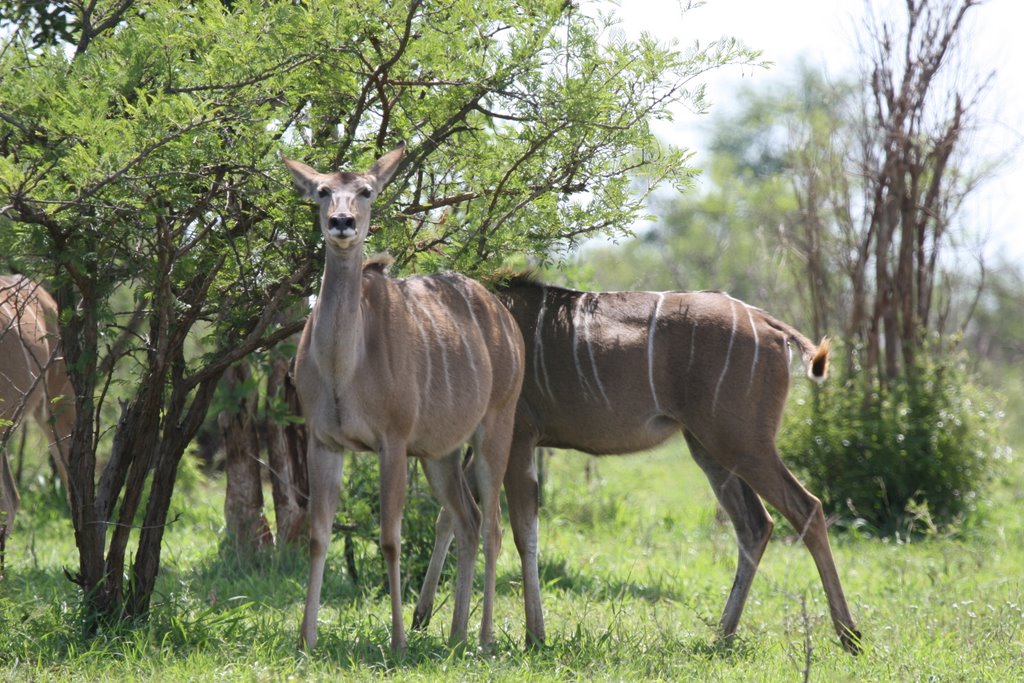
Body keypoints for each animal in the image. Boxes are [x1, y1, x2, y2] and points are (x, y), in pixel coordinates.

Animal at [284, 144, 524, 651]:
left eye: (366, 191)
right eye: (322, 191)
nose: (341, 223)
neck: (344, 367)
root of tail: (507, 320)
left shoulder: (391, 442)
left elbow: (390, 538)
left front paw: (397, 641)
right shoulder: (323, 441)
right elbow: (317, 535)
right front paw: (306, 640)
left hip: (496, 427)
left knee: (493, 526)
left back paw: (483, 640)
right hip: (441, 454)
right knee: (468, 519)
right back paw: (454, 636)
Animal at [411, 274, 860, 655]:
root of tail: (769, 323)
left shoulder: (519, 436)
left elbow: (523, 532)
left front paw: (535, 635)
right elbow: (449, 517)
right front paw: (420, 618)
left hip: (742, 443)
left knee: (806, 508)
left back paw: (849, 635)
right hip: (709, 448)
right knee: (755, 524)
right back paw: (722, 636)